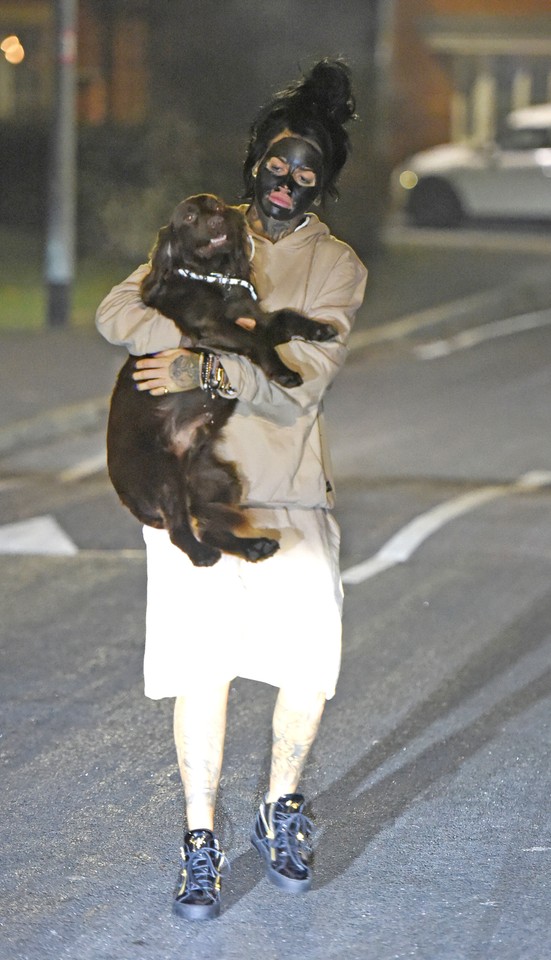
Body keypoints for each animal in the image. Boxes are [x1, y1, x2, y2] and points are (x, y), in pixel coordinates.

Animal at [106, 197, 338, 568]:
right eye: (189, 217)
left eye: (215, 206)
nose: (216, 222)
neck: (215, 277)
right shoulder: (212, 327)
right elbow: (258, 343)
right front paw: (284, 372)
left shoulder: (257, 319)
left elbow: (286, 317)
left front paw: (319, 329)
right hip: (164, 476)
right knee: (181, 532)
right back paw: (204, 555)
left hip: (219, 481)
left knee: (208, 527)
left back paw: (254, 547)